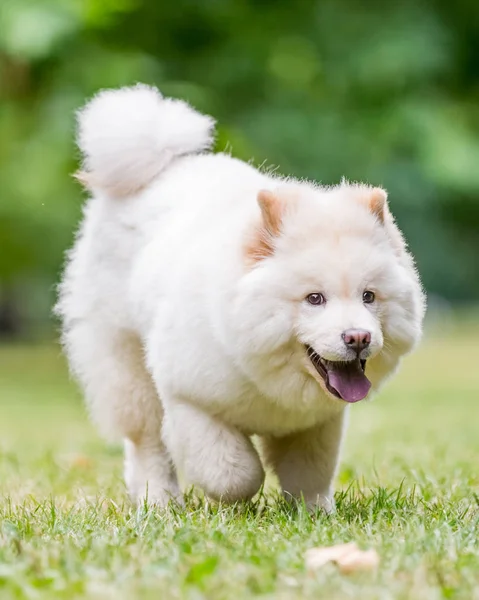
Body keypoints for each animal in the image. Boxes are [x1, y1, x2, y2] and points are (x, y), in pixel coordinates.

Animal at [57, 84, 428, 510]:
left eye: (369, 296)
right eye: (314, 299)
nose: (358, 337)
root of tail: (160, 168)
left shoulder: (317, 423)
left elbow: (310, 473)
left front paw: (315, 512)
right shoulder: (189, 400)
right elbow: (234, 471)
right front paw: (239, 501)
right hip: (127, 366)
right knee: (146, 443)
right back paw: (159, 502)